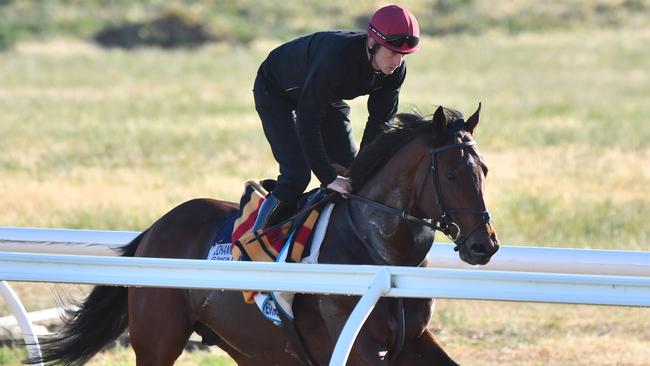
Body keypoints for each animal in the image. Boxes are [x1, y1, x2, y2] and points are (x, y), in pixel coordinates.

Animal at [27, 105, 496, 366]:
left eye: (485, 171)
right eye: (451, 174)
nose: (484, 245)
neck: (379, 253)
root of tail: (154, 230)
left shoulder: (412, 341)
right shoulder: (359, 346)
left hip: (251, 345)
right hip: (158, 339)